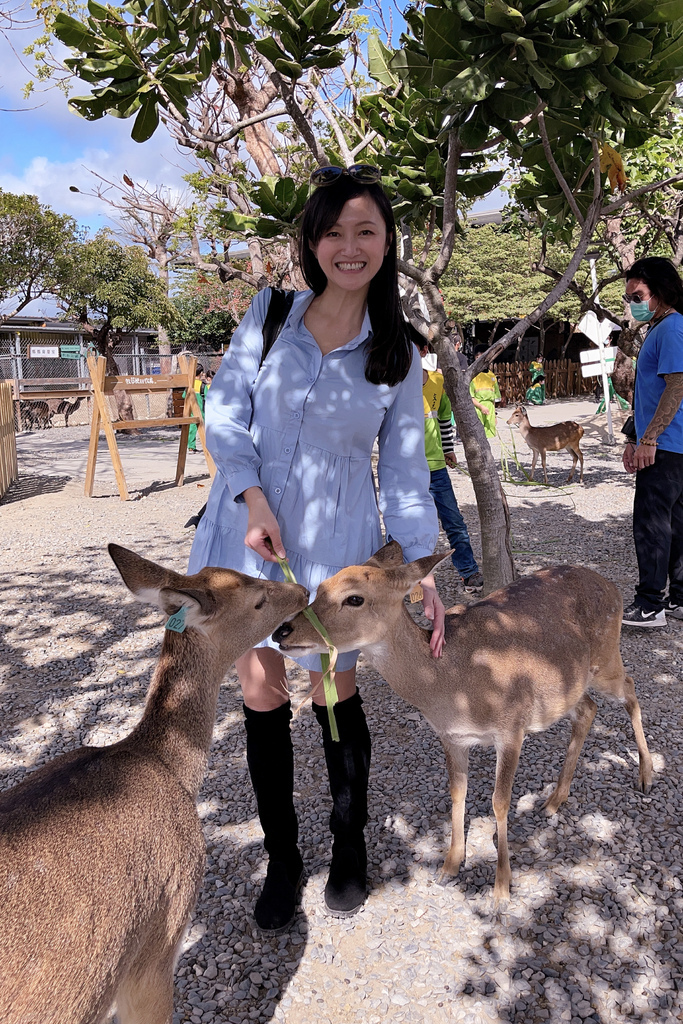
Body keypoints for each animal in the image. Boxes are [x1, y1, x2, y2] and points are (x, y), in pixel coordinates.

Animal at [274, 540, 655, 901]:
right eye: (318, 588)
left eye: (354, 598)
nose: (282, 632)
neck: (452, 688)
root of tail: (612, 586)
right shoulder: (451, 736)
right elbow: (458, 793)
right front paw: (449, 866)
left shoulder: (511, 726)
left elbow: (500, 802)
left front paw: (501, 889)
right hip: (566, 688)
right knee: (588, 708)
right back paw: (554, 801)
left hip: (606, 658)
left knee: (630, 688)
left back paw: (646, 777)